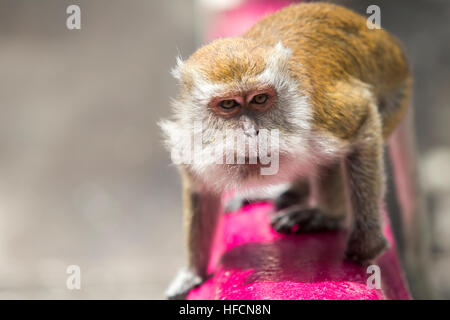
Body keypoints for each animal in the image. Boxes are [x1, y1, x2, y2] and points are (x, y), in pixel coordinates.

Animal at [161, 2, 412, 298]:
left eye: (260, 99)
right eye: (228, 105)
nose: (252, 133)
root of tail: (392, 48)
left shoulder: (320, 117)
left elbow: (363, 123)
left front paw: (366, 245)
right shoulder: (190, 140)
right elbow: (201, 191)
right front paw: (194, 273)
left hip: (394, 102)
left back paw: (326, 216)